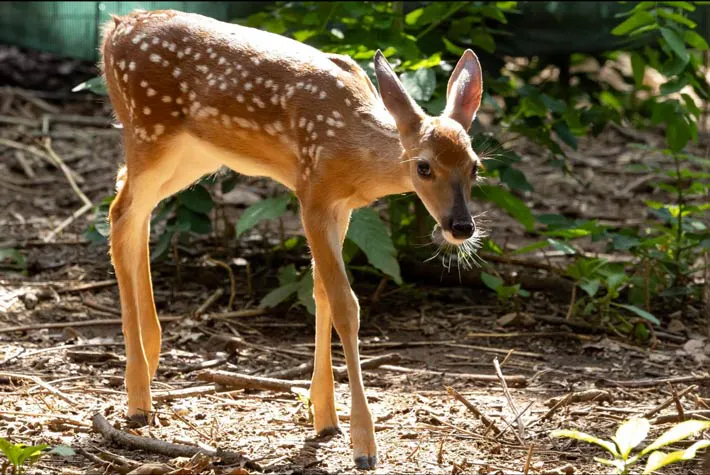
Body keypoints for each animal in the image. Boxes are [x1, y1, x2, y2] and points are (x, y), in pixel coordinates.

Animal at [100, 9, 486, 470]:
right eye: (424, 167)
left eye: (476, 166)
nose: (460, 226)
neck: (354, 151)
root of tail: (116, 27)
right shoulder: (313, 193)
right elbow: (345, 304)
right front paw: (363, 444)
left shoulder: (343, 207)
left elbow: (320, 291)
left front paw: (325, 417)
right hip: (150, 129)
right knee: (121, 211)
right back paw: (139, 398)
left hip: (193, 155)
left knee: (133, 207)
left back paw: (151, 357)